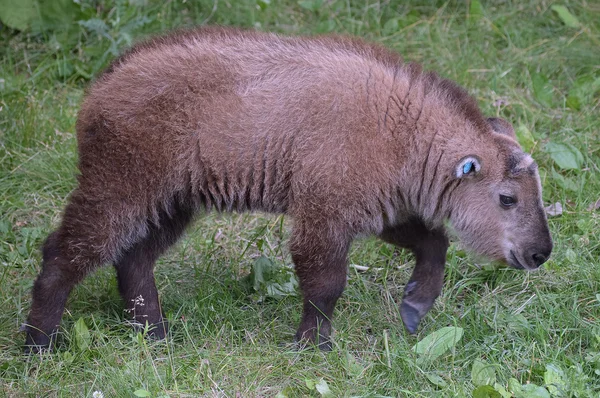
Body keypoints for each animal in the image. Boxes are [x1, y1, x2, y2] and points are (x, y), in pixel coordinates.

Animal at [23, 27, 552, 352]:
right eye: (507, 197)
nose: (541, 253)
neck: (403, 131)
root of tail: (97, 90)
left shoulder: (378, 209)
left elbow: (434, 242)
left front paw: (414, 306)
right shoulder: (324, 214)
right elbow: (325, 285)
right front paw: (312, 344)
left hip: (171, 202)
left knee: (134, 259)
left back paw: (153, 333)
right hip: (120, 189)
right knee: (63, 254)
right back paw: (38, 345)